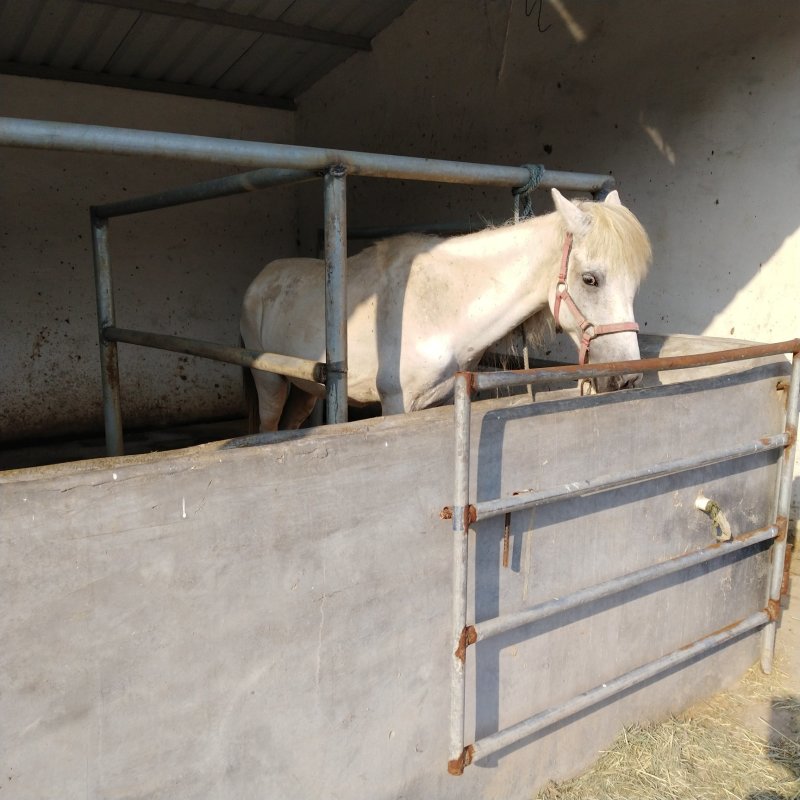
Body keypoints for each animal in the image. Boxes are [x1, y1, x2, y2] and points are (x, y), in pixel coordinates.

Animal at [240, 188, 652, 432]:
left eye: (636, 285)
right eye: (590, 279)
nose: (628, 378)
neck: (443, 307)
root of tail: (260, 279)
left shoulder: (437, 401)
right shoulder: (396, 403)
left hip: (307, 388)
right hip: (270, 381)